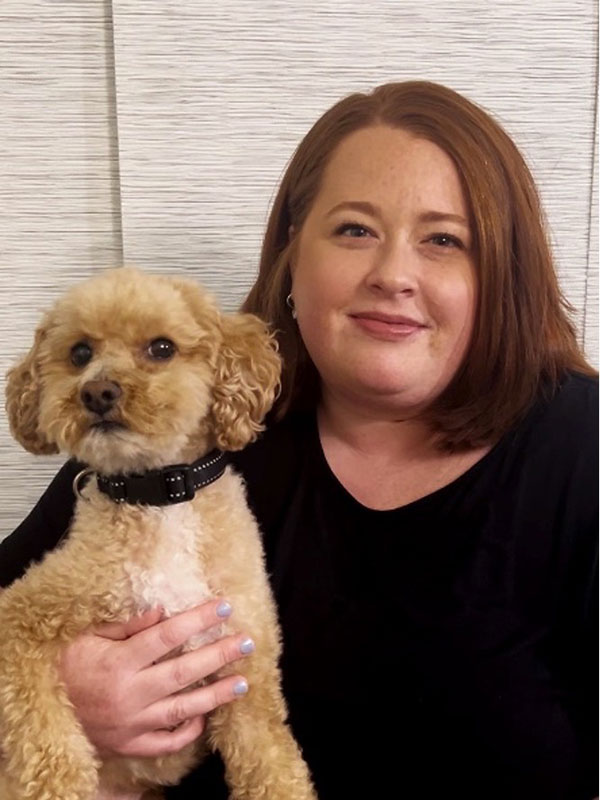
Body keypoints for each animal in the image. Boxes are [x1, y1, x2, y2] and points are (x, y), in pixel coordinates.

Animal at [0, 268, 316, 800]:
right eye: (79, 353)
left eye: (162, 347)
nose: (97, 393)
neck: (161, 497)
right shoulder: (22, 615)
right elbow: (42, 732)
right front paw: (61, 777)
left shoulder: (247, 676)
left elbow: (272, 766)